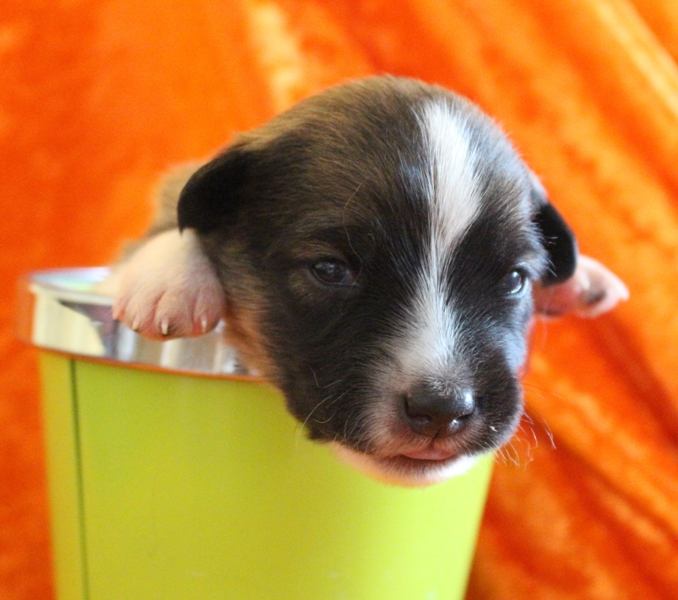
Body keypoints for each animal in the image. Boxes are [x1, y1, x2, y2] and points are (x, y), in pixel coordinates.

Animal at [106, 76, 628, 485]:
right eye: (330, 270)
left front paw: (580, 276)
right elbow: (176, 217)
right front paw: (169, 278)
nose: (443, 408)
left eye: (516, 279)